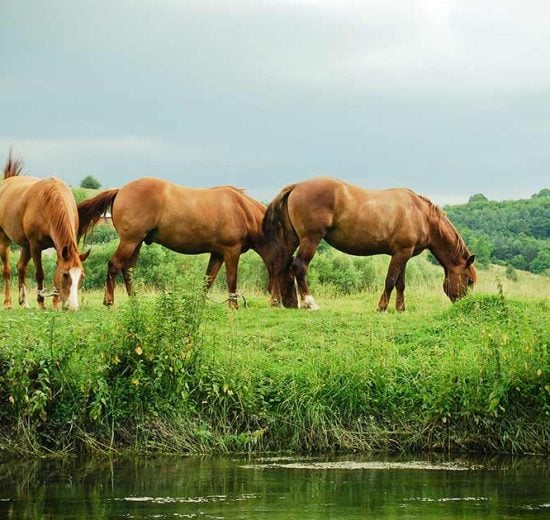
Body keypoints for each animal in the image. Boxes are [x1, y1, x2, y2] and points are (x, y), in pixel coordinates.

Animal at [0, 151, 89, 312]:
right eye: (65, 275)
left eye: (81, 276)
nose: (73, 307)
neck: (49, 203)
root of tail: (6, 182)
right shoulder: (35, 245)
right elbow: (39, 273)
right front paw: (41, 302)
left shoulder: (58, 247)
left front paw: (55, 303)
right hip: (5, 239)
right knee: (7, 270)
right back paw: (8, 302)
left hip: (26, 245)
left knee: (21, 268)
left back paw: (24, 302)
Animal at [78, 178, 292, 308]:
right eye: (285, 266)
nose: (279, 302)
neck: (240, 209)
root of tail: (120, 190)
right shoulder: (232, 251)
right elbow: (232, 279)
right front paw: (233, 305)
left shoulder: (217, 253)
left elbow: (208, 279)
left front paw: (201, 304)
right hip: (130, 241)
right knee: (114, 265)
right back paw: (109, 301)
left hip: (135, 243)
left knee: (128, 269)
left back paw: (135, 300)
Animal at [264, 177, 478, 310]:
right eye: (469, 281)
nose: (464, 304)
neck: (420, 214)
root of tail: (296, 186)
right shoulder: (400, 253)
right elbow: (390, 281)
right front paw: (382, 307)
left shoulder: (404, 255)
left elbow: (400, 283)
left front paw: (400, 308)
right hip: (310, 239)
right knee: (299, 267)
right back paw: (310, 303)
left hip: (292, 239)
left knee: (280, 265)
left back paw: (277, 301)